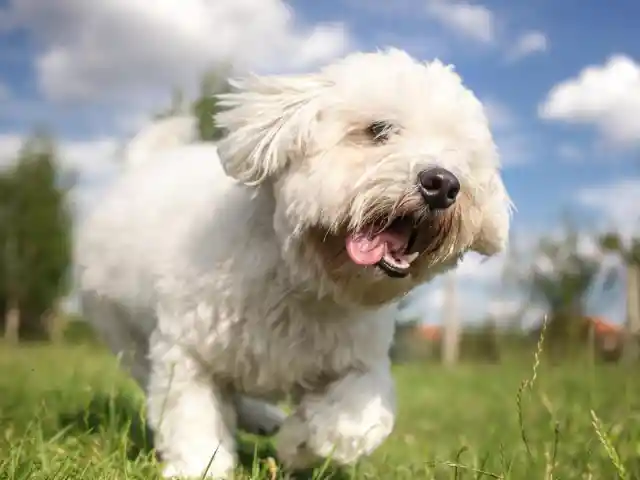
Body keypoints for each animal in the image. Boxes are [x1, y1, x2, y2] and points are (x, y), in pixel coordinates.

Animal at [76, 47, 510, 476]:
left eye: (462, 158)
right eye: (379, 130)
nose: (443, 183)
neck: (301, 280)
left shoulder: (361, 361)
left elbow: (354, 421)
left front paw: (300, 443)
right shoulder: (185, 350)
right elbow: (192, 417)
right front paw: (201, 467)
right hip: (125, 335)